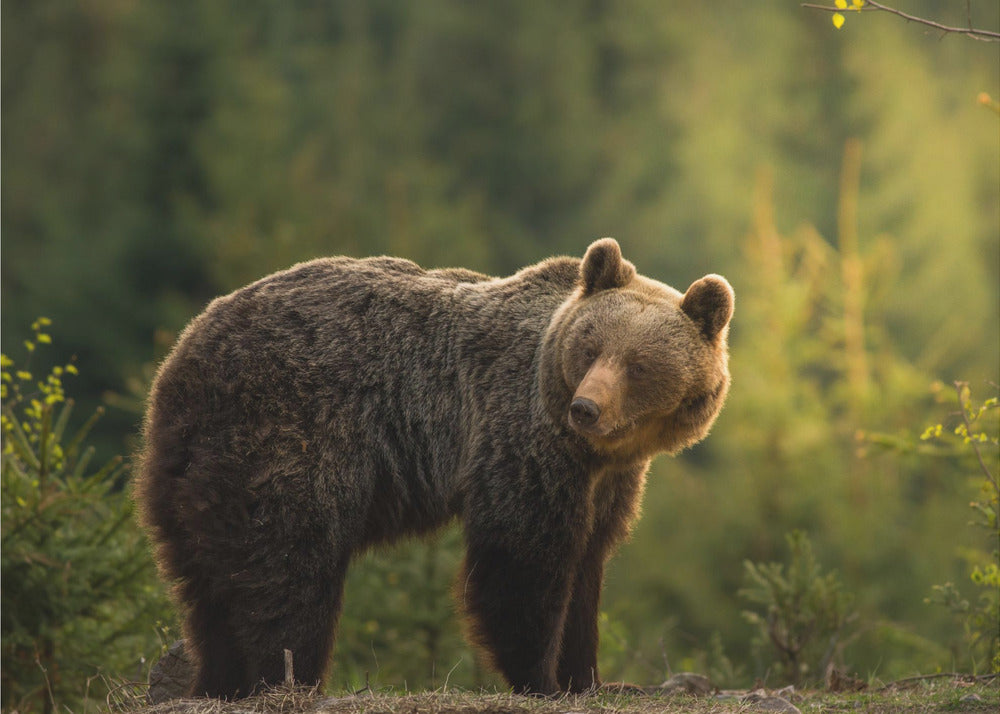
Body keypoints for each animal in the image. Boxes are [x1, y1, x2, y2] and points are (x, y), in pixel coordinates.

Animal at [133, 238, 732, 696]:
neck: (597, 451)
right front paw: (542, 680)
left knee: (208, 582)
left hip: (196, 469)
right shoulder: (520, 436)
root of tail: (182, 357)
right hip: (286, 432)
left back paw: (218, 680)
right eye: (590, 348)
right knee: (289, 567)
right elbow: (523, 558)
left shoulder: (608, 481)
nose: (586, 408)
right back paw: (286, 679)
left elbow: (588, 564)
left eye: (638, 364)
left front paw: (590, 678)